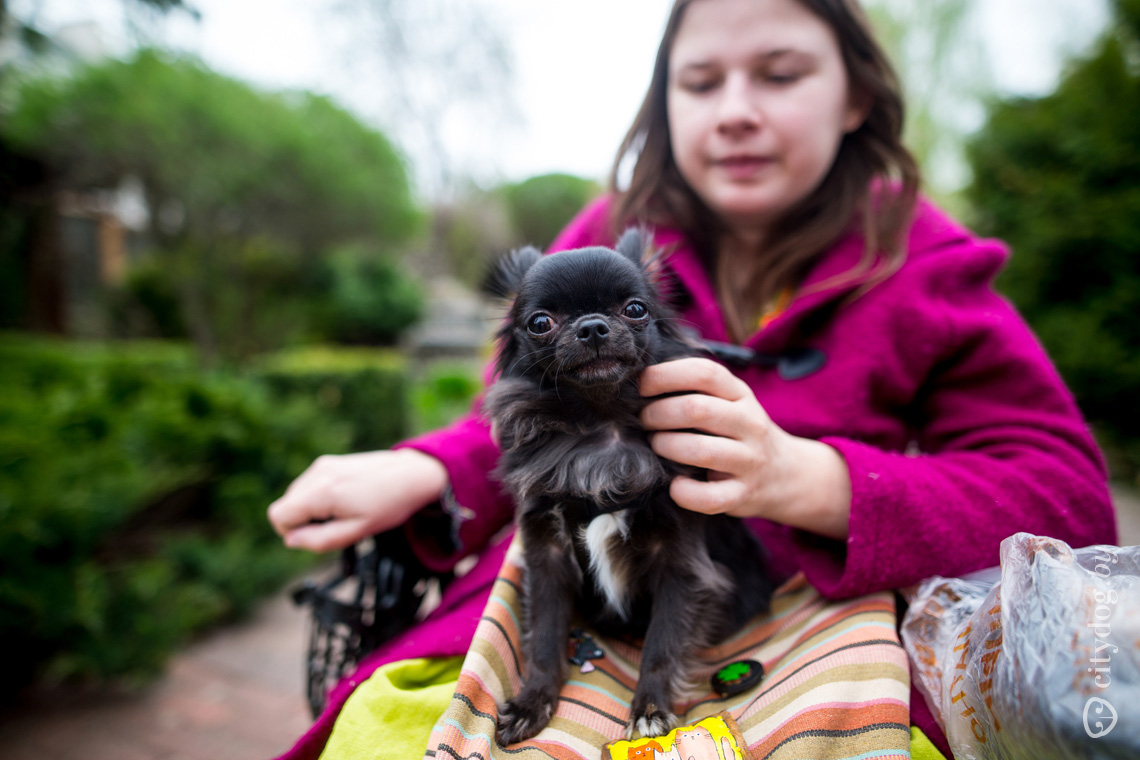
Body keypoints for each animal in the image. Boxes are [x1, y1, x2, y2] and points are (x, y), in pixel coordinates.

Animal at [481, 230, 775, 742]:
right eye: (540, 323)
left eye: (635, 309)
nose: (593, 327)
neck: (603, 431)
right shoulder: (547, 558)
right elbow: (546, 638)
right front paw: (533, 702)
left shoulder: (680, 564)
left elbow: (662, 643)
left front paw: (651, 707)